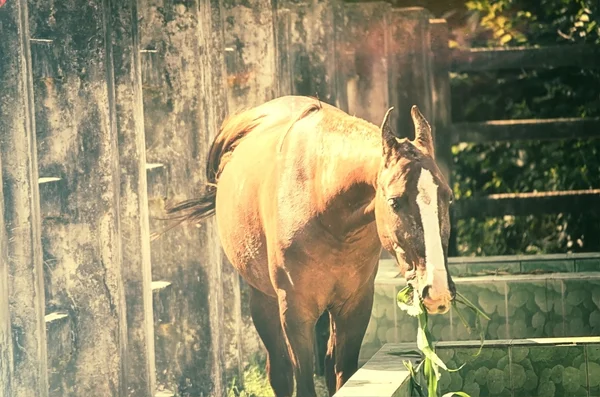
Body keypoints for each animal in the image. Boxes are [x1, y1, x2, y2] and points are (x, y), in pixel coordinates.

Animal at [164, 96, 454, 396]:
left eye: (448, 197)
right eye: (395, 202)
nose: (437, 290)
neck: (321, 201)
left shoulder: (355, 305)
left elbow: (343, 374)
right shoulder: (295, 312)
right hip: (263, 301)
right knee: (279, 371)